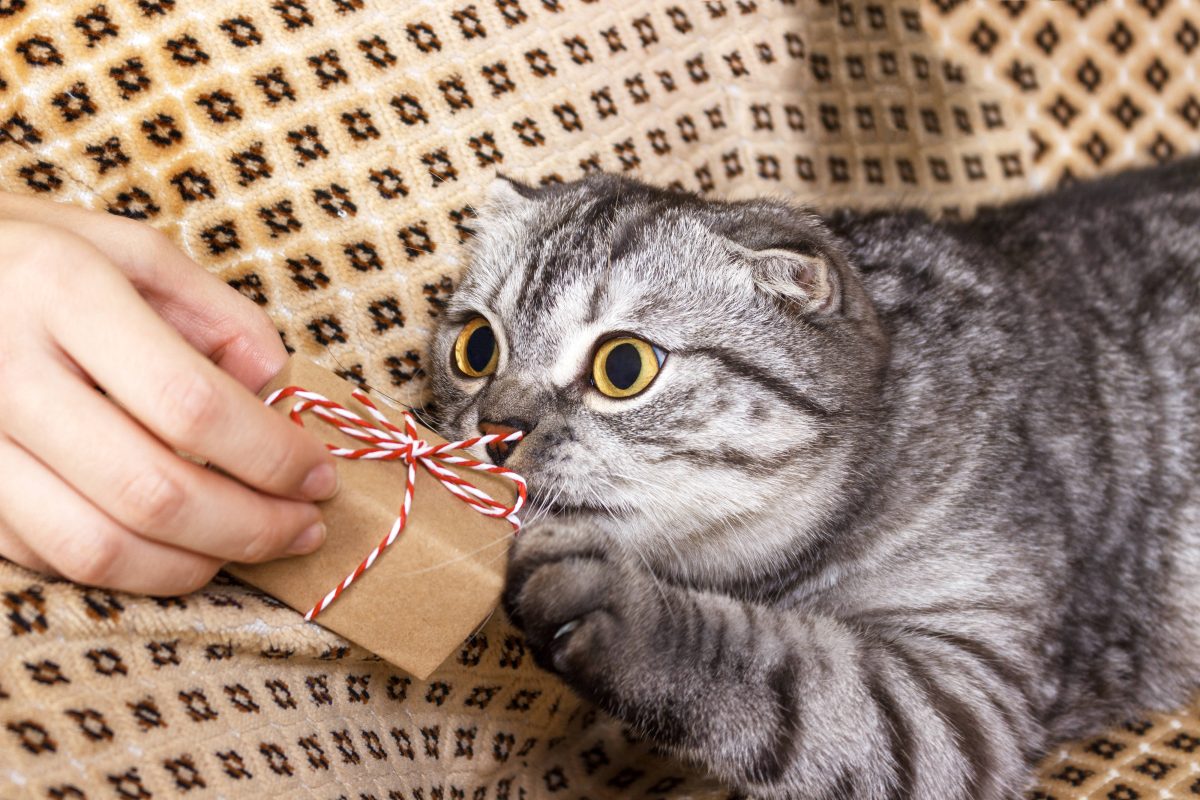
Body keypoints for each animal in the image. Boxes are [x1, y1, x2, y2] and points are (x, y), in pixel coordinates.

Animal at [429, 158, 1200, 800]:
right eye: (476, 348)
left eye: (624, 367)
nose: (495, 427)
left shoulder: (963, 698)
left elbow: (774, 669)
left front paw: (608, 597)